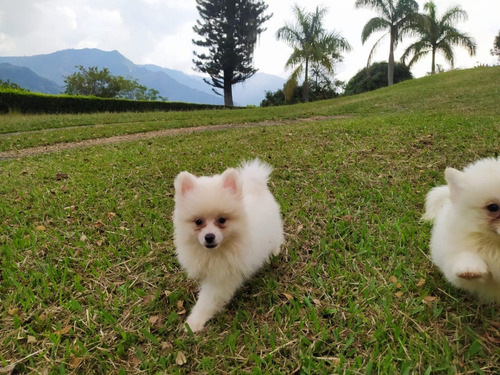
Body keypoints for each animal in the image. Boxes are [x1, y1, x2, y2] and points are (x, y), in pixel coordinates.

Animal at [172, 159, 284, 332]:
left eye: (222, 220)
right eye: (198, 221)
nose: (209, 237)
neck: (216, 251)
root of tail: (256, 187)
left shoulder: (222, 278)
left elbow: (207, 300)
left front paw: (194, 322)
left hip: (274, 230)